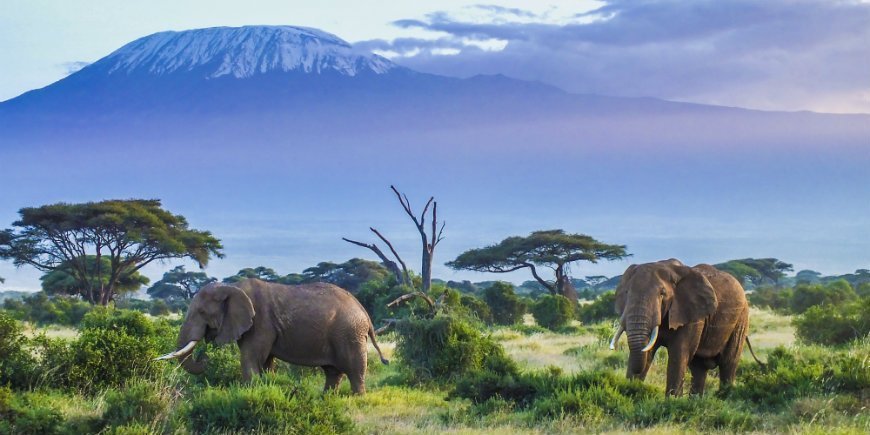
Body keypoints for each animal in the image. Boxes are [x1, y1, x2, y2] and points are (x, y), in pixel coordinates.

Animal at [155, 280, 390, 396]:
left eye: (202, 312)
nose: (204, 357)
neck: (231, 287)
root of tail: (364, 311)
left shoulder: (261, 322)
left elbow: (250, 358)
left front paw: (249, 394)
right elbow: (265, 361)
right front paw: (265, 387)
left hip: (349, 333)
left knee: (354, 368)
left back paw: (357, 398)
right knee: (333, 371)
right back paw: (326, 398)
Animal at [612, 260, 756, 396]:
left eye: (662, 294)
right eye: (626, 292)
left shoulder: (692, 315)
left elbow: (679, 353)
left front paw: (672, 401)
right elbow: (647, 351)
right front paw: (630, 392)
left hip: (741, 319)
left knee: (728, 363)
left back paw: (724, 396)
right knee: (699, 367)